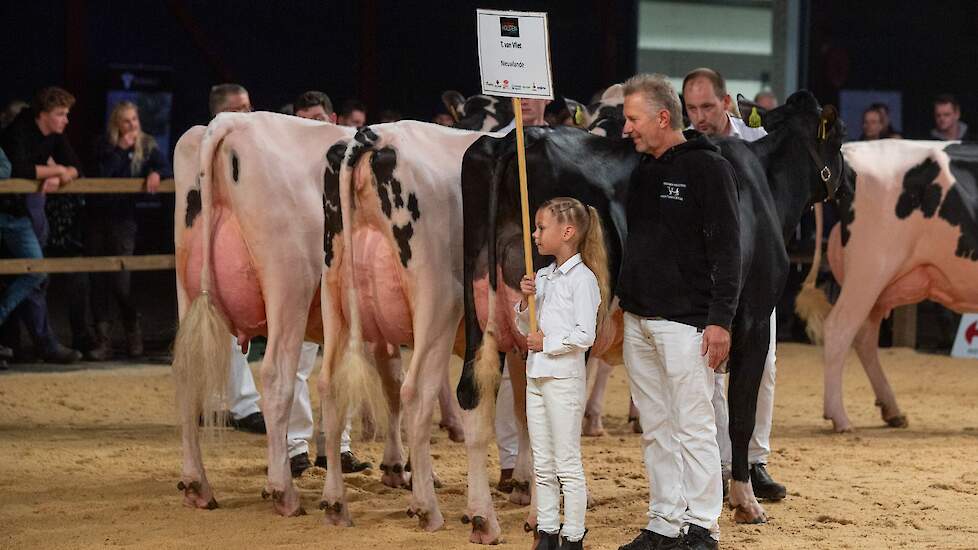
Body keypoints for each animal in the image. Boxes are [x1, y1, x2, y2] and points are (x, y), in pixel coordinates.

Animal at [458, 91, 848, 536]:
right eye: (840, 136)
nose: (849, 181)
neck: (764, 184)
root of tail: (514, 140)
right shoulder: (751, 319)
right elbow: (739, 416)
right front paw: (745, 502)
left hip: (482, 313)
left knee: (475, 398)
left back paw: (483, 516)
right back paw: (538, 515)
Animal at [796, 140, 976, 434]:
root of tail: (849, 151)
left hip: (877, 285)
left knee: (864, 337)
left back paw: (892, 411)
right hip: (870, 269)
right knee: (839, 328)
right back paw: (840, 418)